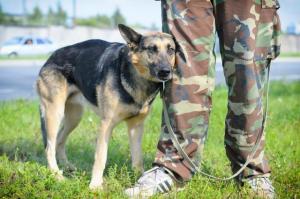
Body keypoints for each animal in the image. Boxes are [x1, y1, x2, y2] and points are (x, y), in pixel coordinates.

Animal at [35, 24, 176, 189]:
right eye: (152, 49)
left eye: (171, 50)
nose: (166, 72)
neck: (132, 74)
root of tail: (51, 57)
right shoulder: (106, 124)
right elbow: (101, 157)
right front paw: (95, 186)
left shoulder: (136, 126)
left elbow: (137, 158)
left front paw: (139, 178)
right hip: (55, 114)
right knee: (49, 147)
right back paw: (57, 176)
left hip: (74, 118)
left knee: (59, 140)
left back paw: (67, 167)